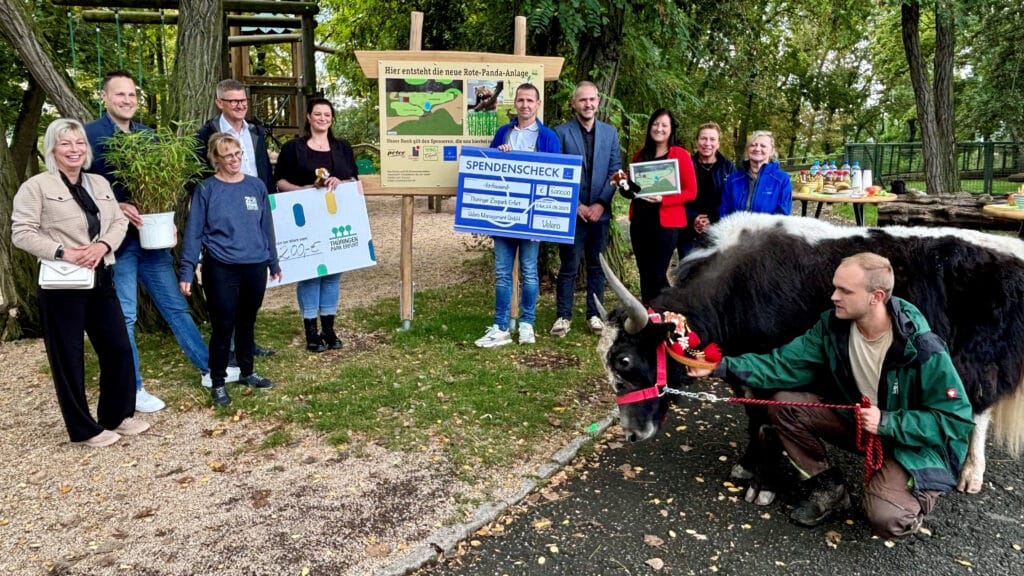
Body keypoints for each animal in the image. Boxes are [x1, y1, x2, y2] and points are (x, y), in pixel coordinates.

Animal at [598, 213, 1024, 496]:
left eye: (624, 361)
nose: (632, 433)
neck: (737, 289)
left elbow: (766, 423)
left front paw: (764, 485)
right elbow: (752, 417)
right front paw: (746, 467)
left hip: (977, 360)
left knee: (978, 410)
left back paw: (969, 475)